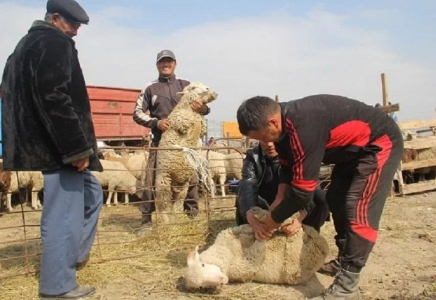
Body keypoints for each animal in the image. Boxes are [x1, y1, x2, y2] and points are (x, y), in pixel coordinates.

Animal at [155, 82, 218, 223]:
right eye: (193, 88)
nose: (208, 89)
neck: (191, 110)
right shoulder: (178, 121)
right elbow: (183, 124)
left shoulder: (201, 125)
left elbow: (201, 128)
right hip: (163, 181)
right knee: (163, 202)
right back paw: (166, 221)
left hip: (182, 184)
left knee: (177, 201)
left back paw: (177, 217)